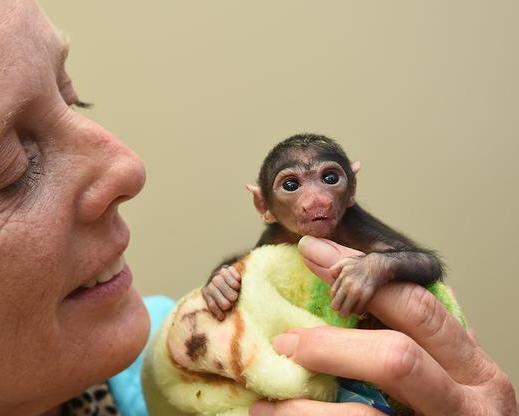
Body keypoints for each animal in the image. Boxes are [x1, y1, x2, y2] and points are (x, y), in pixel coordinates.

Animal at [203, 135, 442, 320]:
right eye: (290, 184)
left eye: (330, 178)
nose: (318, 201)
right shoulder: (272, 237)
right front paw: (219, 282)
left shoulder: (356, 224)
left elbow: (427, 262)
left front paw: (363, 272)